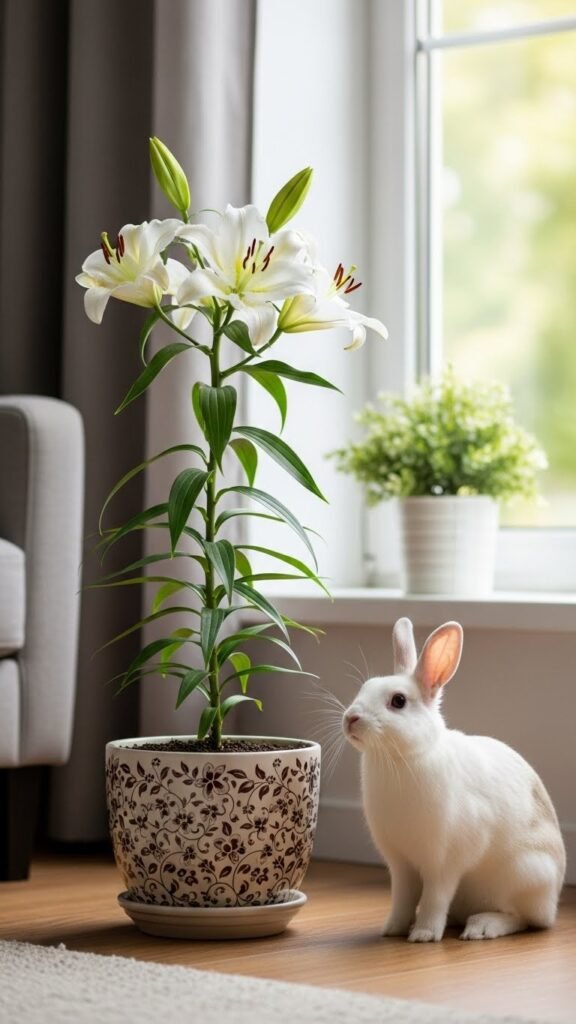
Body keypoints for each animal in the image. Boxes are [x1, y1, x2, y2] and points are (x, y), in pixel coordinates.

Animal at [342, 617, 566, 942]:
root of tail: (553, 899)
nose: (350, 719)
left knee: (524, 919)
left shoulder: (444, 862)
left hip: (526, 875)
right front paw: (392, 929)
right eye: (364, 687)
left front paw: (423, 935)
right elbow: (402, 898)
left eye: (398, 701)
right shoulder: (401, 864)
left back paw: (481, 927)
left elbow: (435, 897)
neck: (402, 758)